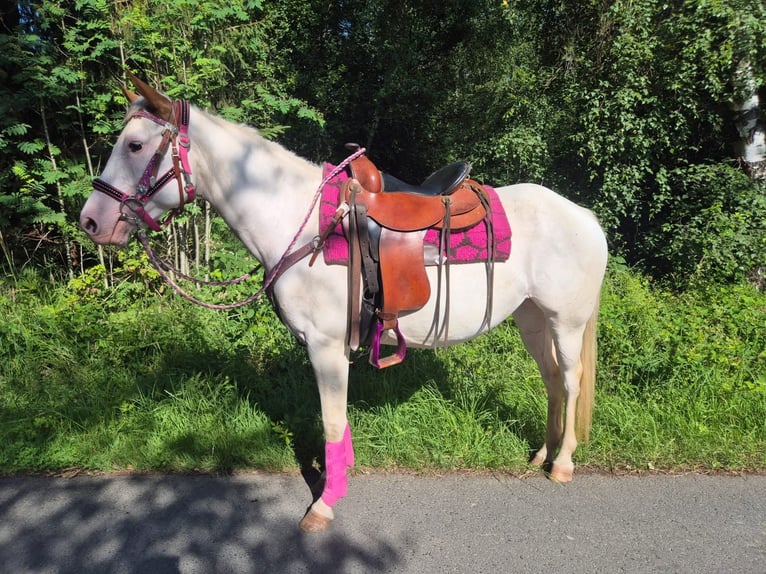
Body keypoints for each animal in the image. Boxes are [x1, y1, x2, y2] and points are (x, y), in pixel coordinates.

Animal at [80, 74, 608, 533]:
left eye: (135, 145)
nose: (90, 221)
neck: (301, 221)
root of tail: (584, 216)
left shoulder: (326, 346)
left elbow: (331, 424)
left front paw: (324, 504)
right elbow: (340, 426)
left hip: (565, 321)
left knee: (571, 380)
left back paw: (562, 463)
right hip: (531, 318)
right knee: (552, 380)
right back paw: (540, 454)